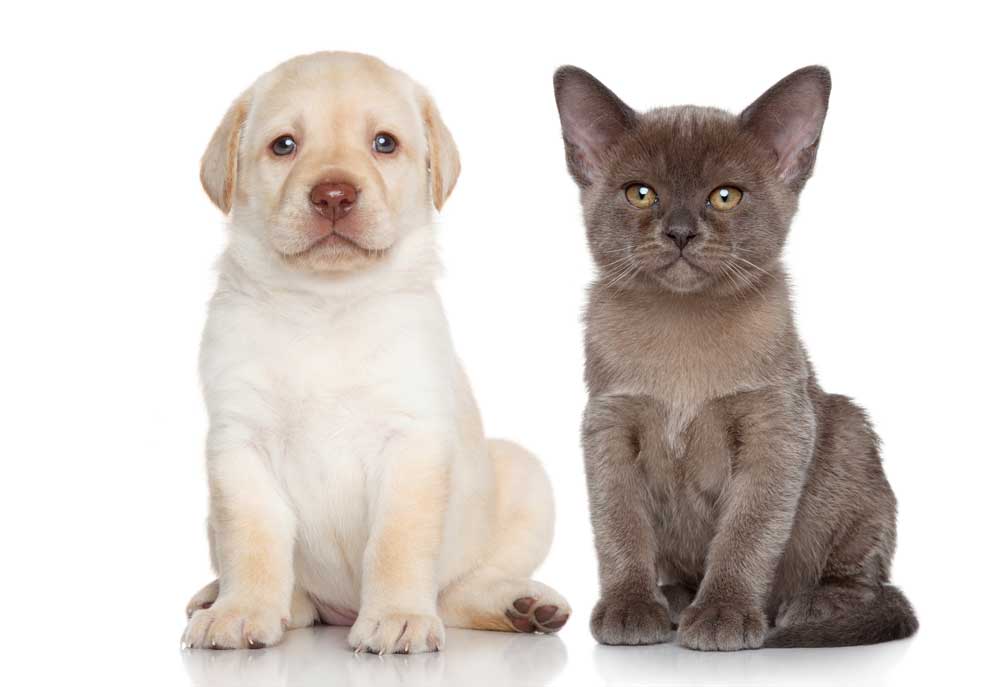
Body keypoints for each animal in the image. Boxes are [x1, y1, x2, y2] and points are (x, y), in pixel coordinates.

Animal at [182, 53, 572, 656]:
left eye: (384, 143)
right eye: (284, 145)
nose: (334, 196)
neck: (326, 304)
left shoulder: (411, 443)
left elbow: (396, 543)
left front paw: (397, 617)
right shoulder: (238, 445)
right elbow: (251, 539)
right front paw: (241, 610)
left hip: (524, 476)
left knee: (459, 591)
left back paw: (522, 605)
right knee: (296, 598)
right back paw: (222, 598)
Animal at [552, 64, 916, 652]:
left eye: (725, 197)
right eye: (640, 193)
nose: (680, 232)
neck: (681, 332)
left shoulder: (777, 430)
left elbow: (745, 534)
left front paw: (724, 614)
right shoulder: (609, 427)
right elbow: (619, 529)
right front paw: (630, 608)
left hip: (847, 429)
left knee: (868, 580)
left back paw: (808, 607)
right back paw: (673, 601)